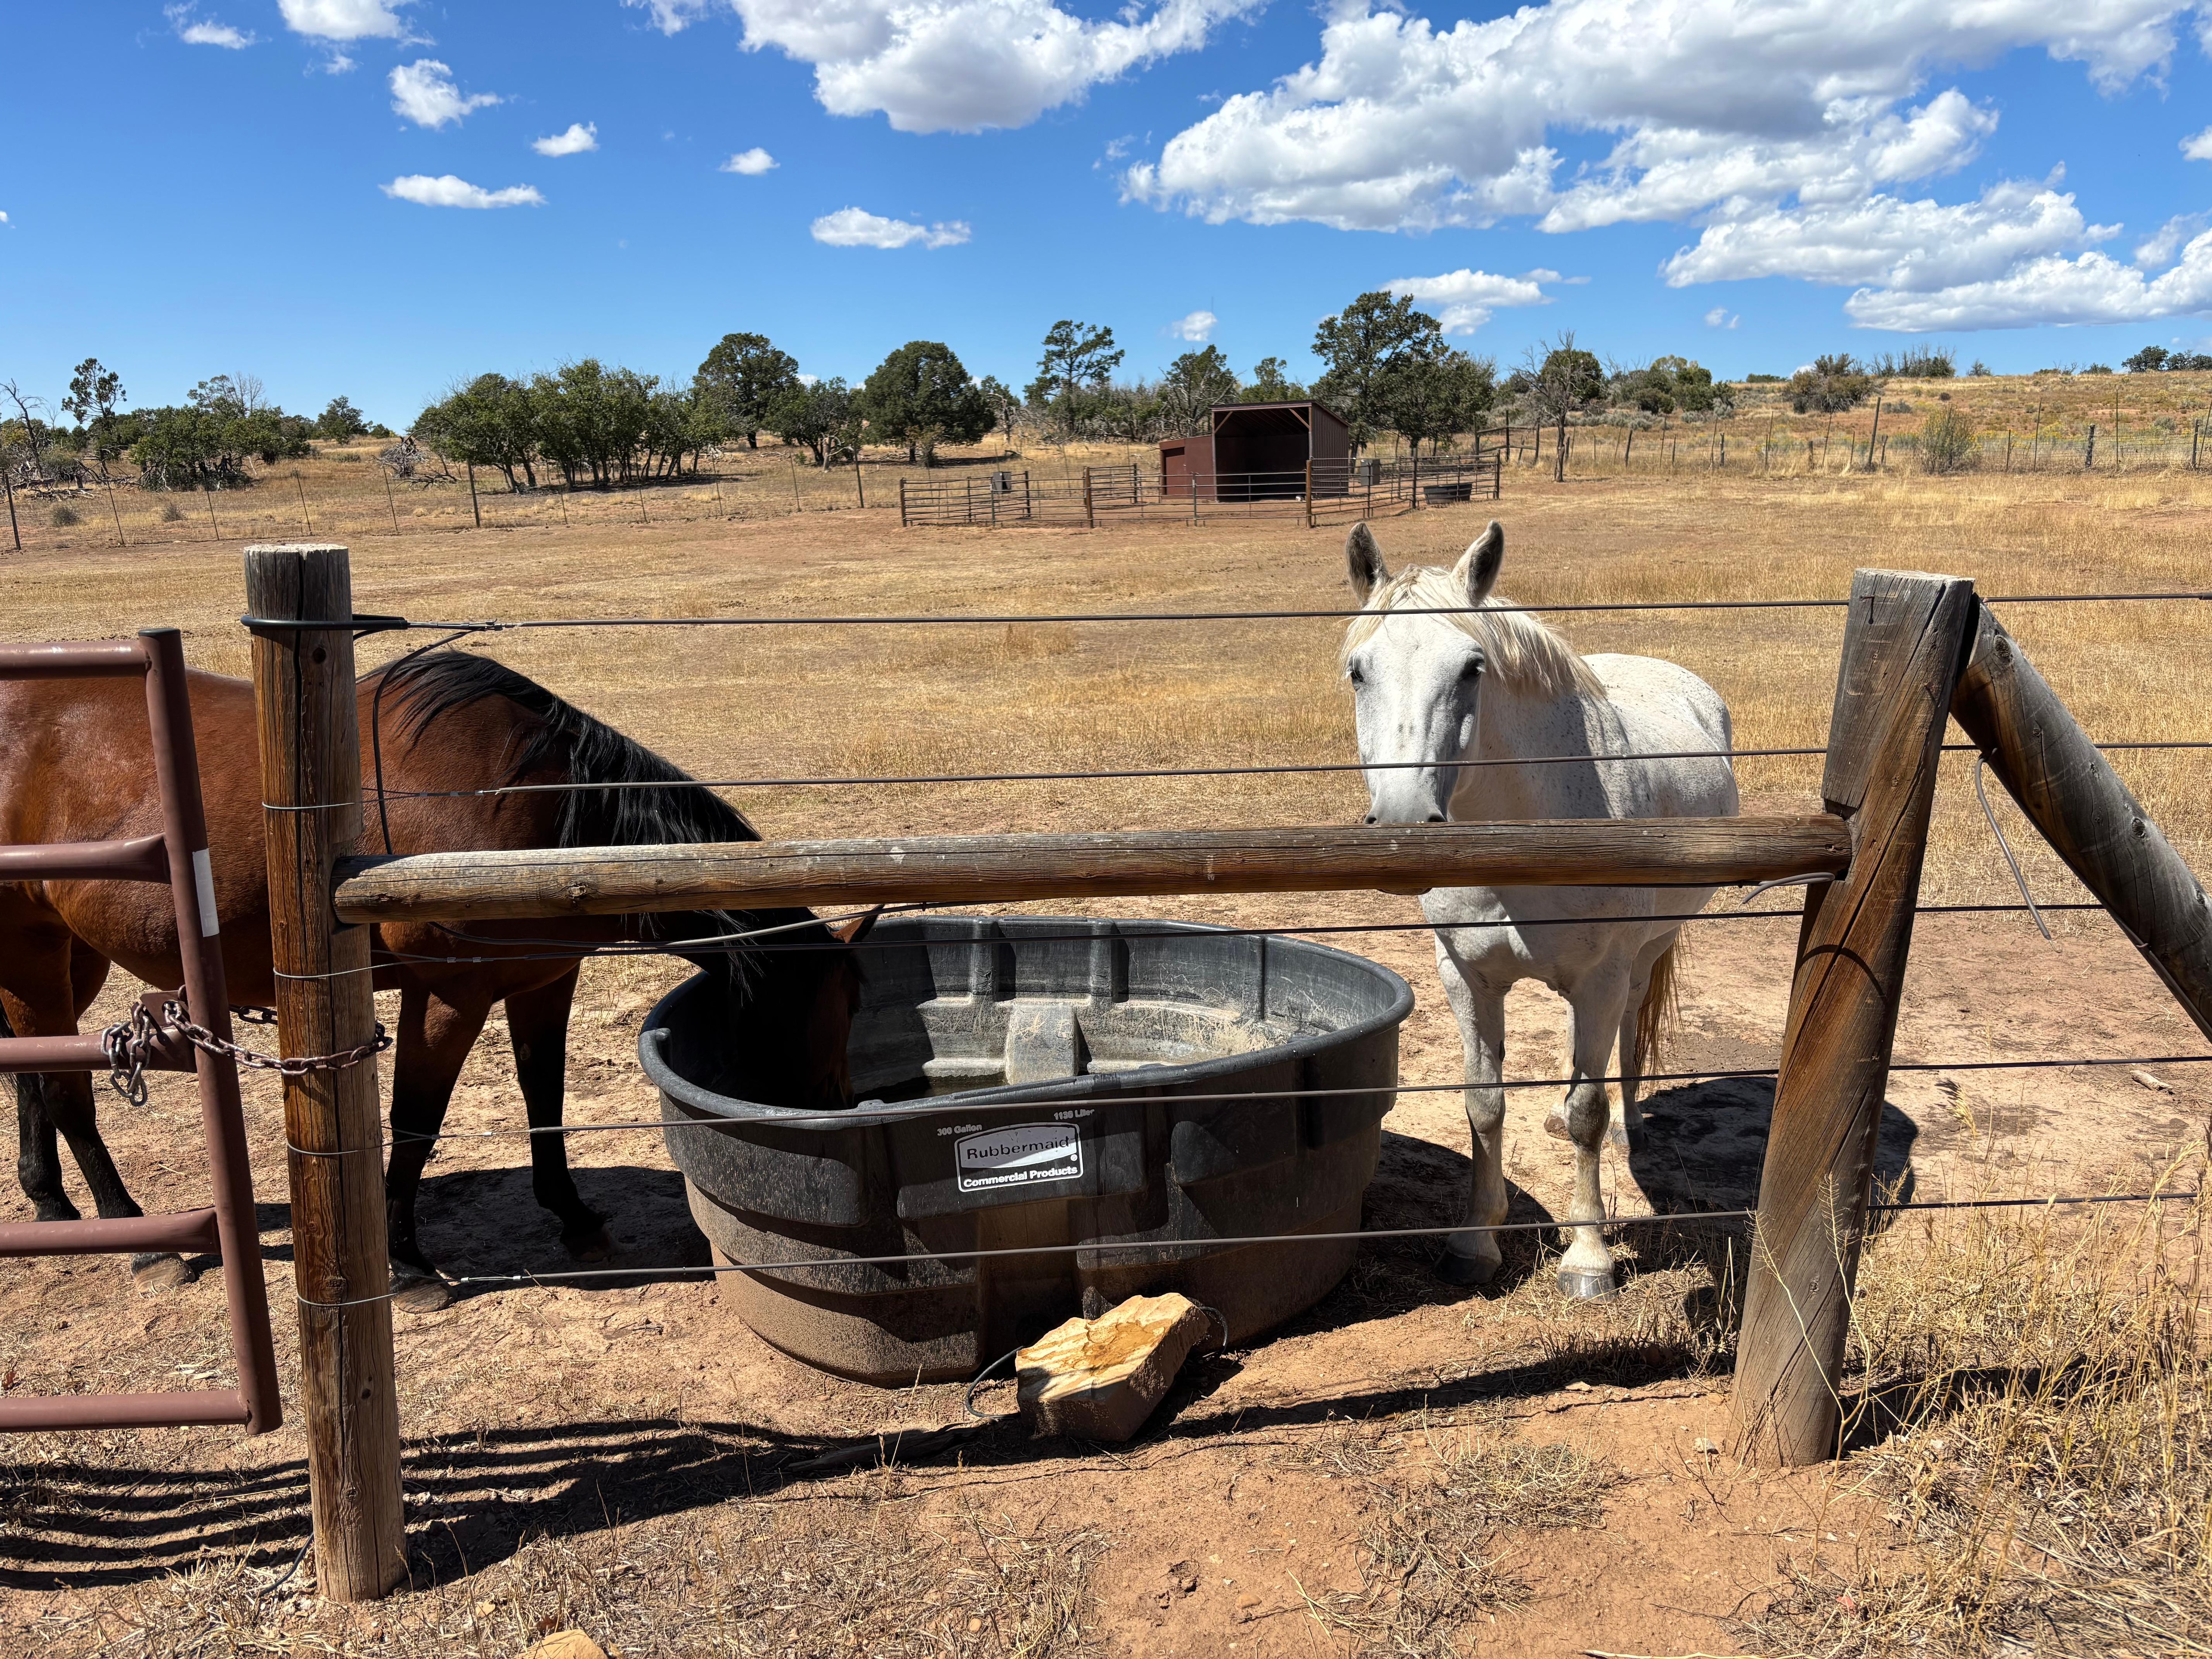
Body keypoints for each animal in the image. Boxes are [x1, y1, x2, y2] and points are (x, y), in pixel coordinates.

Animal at [0, 649, 870, 1310]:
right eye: (836, 1014)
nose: (835, 1112)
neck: (539, 810)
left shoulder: (543, 983)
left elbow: (544, 1096)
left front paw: (573, 1215)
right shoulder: (448, 998)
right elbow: (415, 1123)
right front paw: (407, 1264)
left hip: (73, 958)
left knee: (31, 1077)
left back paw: (52, 1202)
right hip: (35, 955)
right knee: (67, 1091)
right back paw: (139, 1237)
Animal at [1341, 520, 1738, 1298]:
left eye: (1472, 668)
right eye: (1358, 670)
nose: (1404, 823)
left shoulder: (1601, 976)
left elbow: (1588, 1112)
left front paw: (1589, 1259)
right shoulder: (1466, 977)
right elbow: (1484, 1104)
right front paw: (1474, 1245)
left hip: (1644, 955)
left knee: (1624, 1045)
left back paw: (1630, 1126)